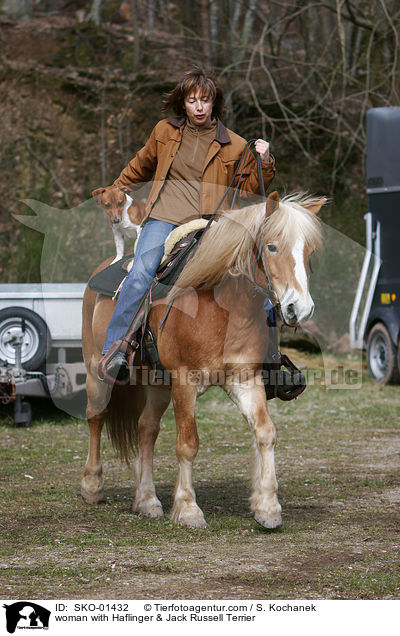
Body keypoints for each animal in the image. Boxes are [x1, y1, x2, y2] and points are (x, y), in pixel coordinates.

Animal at [80, 191, 324, 528]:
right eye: (272, 246)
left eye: (310, 251)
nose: (299, 309)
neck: (223, 306)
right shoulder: (184, 383)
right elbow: (188, 443)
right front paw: (187, 508)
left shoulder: (244, 380)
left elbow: (265, 432)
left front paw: (267, 506)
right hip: (96, 370)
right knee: (96, 416)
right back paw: (92, 486)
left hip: (157, 384)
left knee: (146, 430)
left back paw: (147, 500)